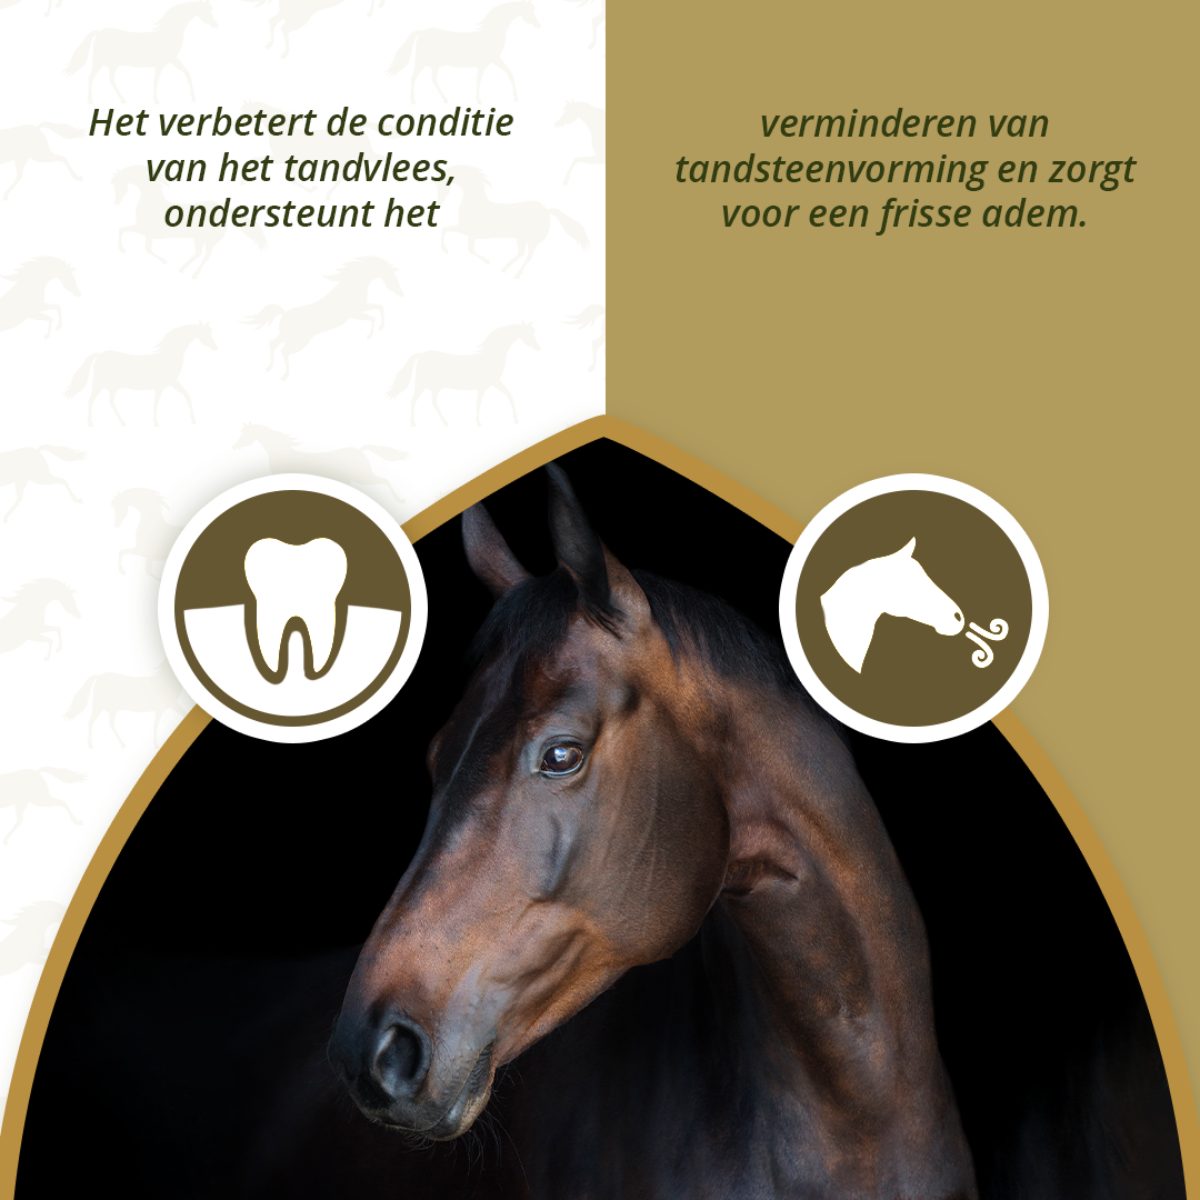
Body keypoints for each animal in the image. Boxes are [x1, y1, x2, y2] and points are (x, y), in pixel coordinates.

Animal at [387, 323, 539, 425]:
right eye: (528, 334)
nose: (537, 346)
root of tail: (422, 354)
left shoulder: (492, 384)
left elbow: (507, 395)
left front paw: (515, 418)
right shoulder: (486, 385)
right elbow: (481, 402)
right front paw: (478, 422)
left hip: (435, 386)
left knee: (432, 401)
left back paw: (445, 421)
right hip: (423, 384)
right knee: (414, 400)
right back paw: (415, 422)